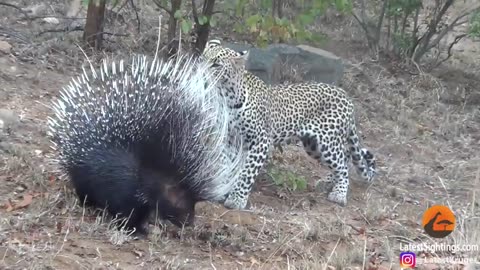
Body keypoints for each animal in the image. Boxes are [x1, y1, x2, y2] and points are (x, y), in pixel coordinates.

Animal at [201, 39, 376, 210]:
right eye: (203, 58)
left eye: (216, 65)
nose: (201, 72)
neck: (227, 96)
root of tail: (346, 96)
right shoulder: (230, 139)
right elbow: (227, 165)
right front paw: (224, 189)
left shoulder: (261, 141)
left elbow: (247, 172)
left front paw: (236, 199)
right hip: (313, 145)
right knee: (344, 157)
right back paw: (328, 182)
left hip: (328, 142)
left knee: (343, 165)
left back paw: (339, 193)